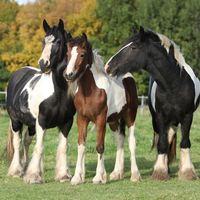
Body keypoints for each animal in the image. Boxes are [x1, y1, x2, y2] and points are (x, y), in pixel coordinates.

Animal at [6, 19, 76, 184]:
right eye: (43, 41)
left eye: (58, 41)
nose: (43, 63)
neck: (59, 93)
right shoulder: (42, 122)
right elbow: (40, 146)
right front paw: (34, 176)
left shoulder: (67, 122)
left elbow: (63, 147)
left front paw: (63, 175)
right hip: (16, 121)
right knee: (17, 142)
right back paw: (16, 171)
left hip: (31, 124)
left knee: (26, 142)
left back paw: (25, 168)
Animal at [63, 33, 140, 185]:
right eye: (68, 54)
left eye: (82, 54)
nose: (69, 75)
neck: (91, 91)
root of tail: (128, 76)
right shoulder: (82, 119)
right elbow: (81, 146)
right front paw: (77, 178)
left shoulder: (100, 119)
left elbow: (100, 146)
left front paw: (99, 177)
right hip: (114, 121)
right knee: (120, 140)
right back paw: (117, 173)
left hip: (130, 116)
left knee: (131, 142)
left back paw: (135, 175)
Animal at [104, 27, 200, 180]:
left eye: (133, 47)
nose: (108, 67)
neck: (175, 85)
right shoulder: (160, 117)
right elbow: (162, 143)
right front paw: (160, 171)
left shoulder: (187, 116)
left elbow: (185, 142)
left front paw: (187, 172)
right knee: (165, 138)